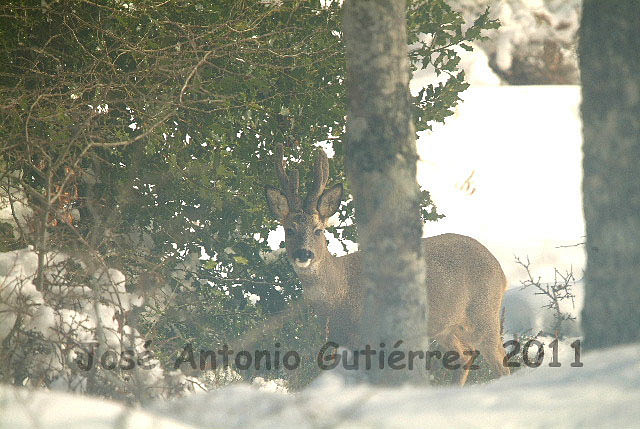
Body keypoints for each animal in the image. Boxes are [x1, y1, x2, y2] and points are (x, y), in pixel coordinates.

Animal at [264, 145, 510, 384]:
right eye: (289, 229)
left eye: (318, 230)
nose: (303, 254)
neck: (339, 293)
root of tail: (501, 272)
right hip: (446, 328)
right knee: (465, 355)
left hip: (484, 315)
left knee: (501, 361)